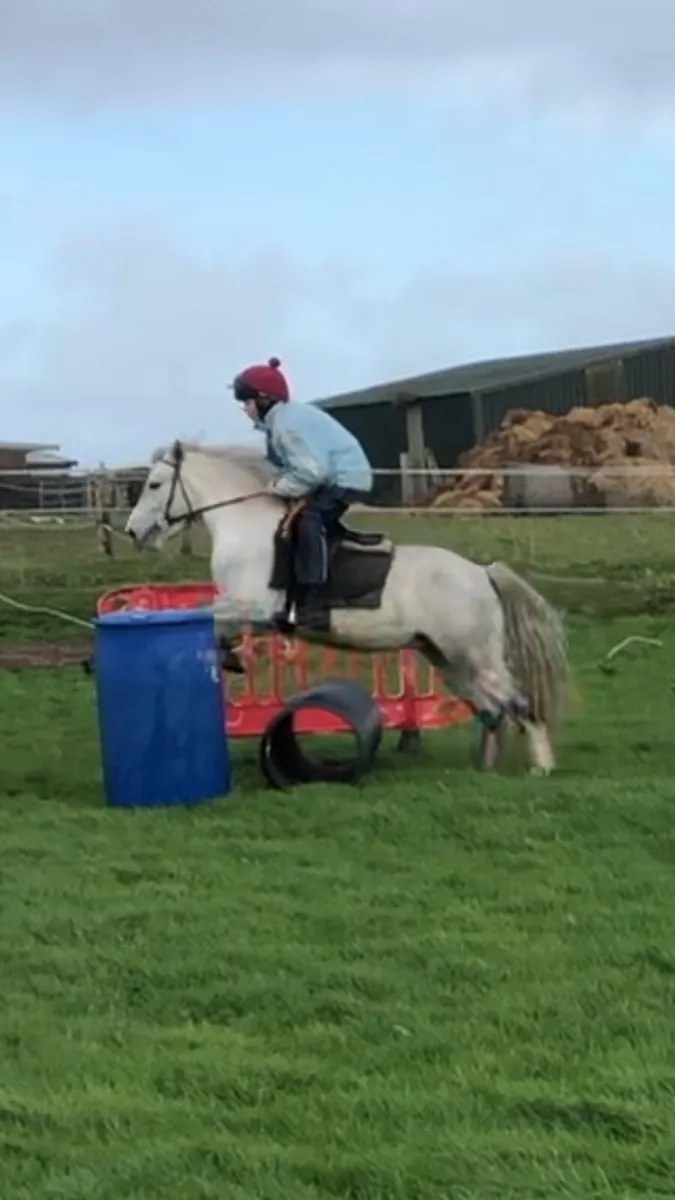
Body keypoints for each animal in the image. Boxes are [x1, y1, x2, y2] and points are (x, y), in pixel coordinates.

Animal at [125, 438, 568, 774]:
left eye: (155, 484)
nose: (132, 532)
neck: (243, 526)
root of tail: (481, 572)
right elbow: (209, 620)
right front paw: (224, 657)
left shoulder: (249, 607)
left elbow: (207, 613)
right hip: (446, 658)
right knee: (491, 709)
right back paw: (487, 768)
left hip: (476, 655)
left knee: (519, 705)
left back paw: (541, 769)